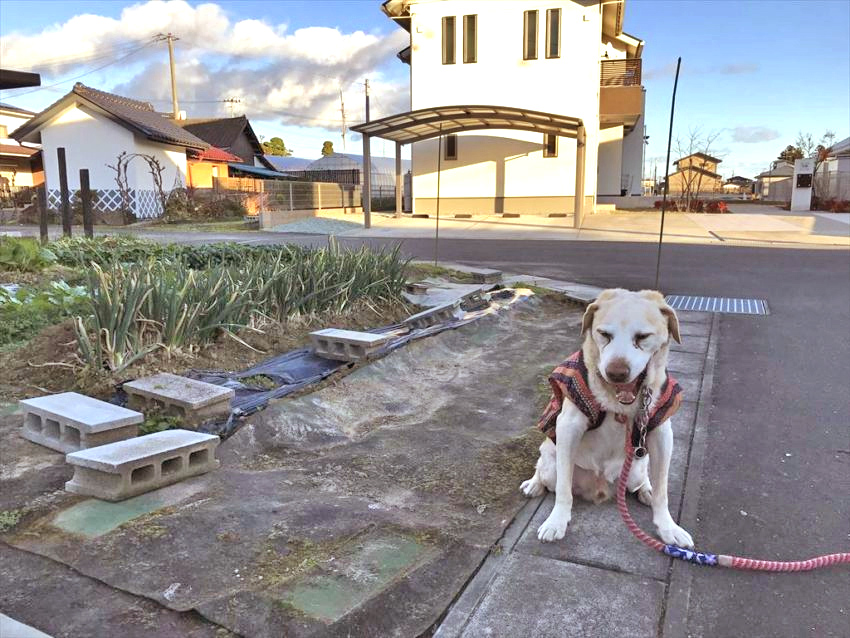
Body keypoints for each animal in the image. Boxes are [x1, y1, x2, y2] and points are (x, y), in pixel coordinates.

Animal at [520, 292, 692, 552]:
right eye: (604, 334)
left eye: (642, 337)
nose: (616, 373)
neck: (619, 404)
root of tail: (599, 489)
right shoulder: (568, 426)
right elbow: (563, 490)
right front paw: (556, 521)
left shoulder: (662, 432)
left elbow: (662, 490)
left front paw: (668, 527)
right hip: (550, 464)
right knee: (544, 472)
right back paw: (534, 484)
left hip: (635, 471)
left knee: (644, 480)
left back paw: (646, 490)